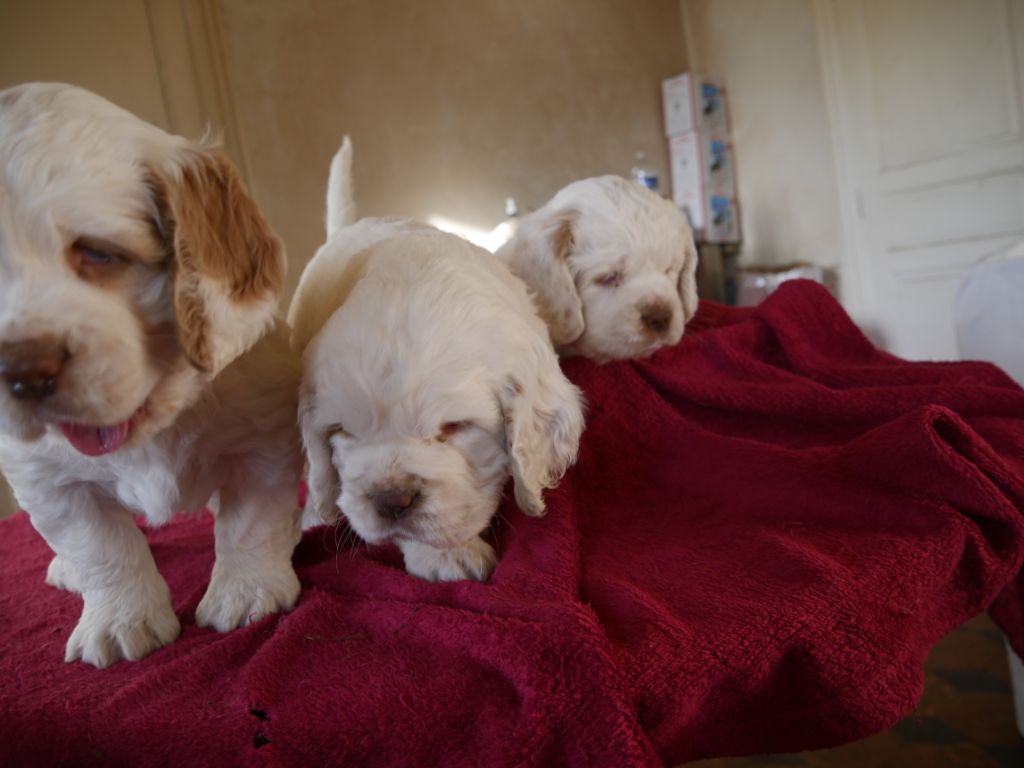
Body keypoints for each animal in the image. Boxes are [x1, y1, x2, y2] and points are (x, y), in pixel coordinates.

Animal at [0, 83, 303, 671]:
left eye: (99, 253)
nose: (23, 372)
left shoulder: (262, 440)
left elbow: (251, 520)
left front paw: (246, 593)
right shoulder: (48, 481)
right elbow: (100, 546)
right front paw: (120, 622)